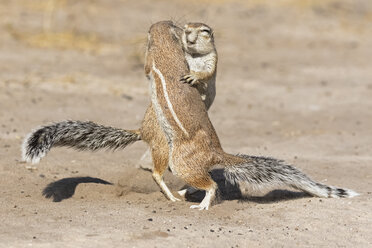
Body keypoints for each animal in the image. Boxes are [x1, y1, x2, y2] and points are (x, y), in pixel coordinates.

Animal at [21, 21, 358, 210]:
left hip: (175, 156)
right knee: (201, 180)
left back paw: (190, 200)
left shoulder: (160, 61)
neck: (168, 46)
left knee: (200, 183)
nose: (187, 33)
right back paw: (183, 192)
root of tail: (217, 151)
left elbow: (155, 68)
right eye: (180, 28)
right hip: (175, 155)